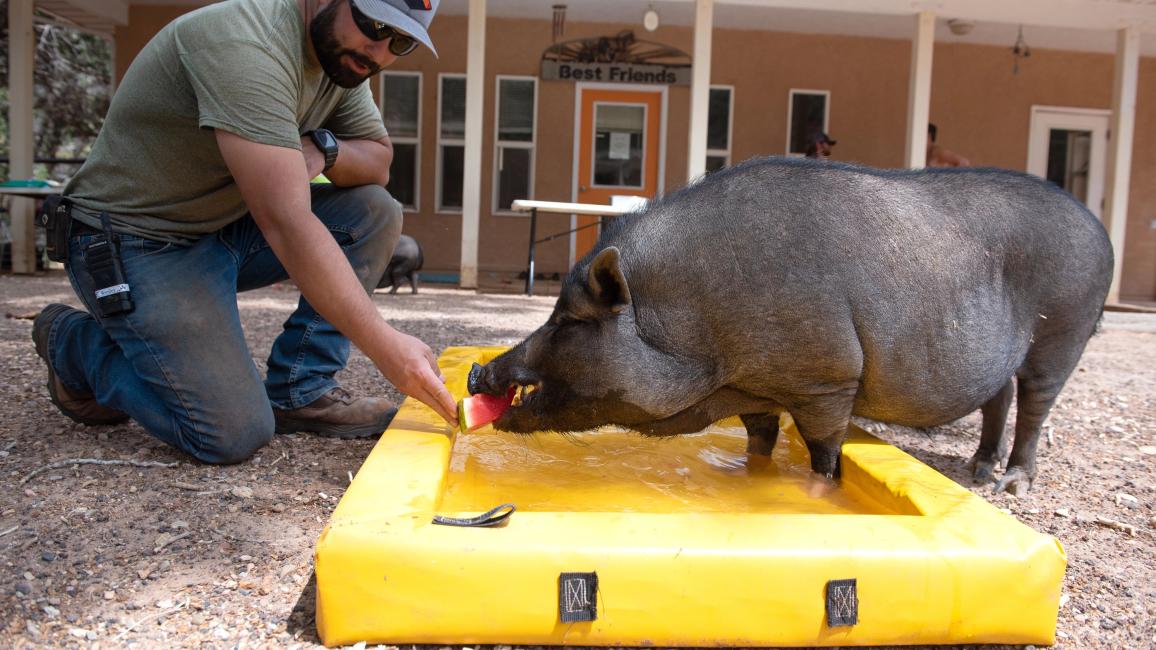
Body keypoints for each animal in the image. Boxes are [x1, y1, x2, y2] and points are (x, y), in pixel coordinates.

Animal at [467, 156, 1109, 490]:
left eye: (569, 320)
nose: (477, 372)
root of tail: (1097, 226)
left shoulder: (827, 380)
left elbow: (824, 450)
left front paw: (820, 490)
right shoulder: (758, 391)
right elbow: (760, 442)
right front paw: (746, 474)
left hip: (1064, 331)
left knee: (1035, 404)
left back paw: (1010, 484)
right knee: (998, 397)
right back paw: (977, 473)